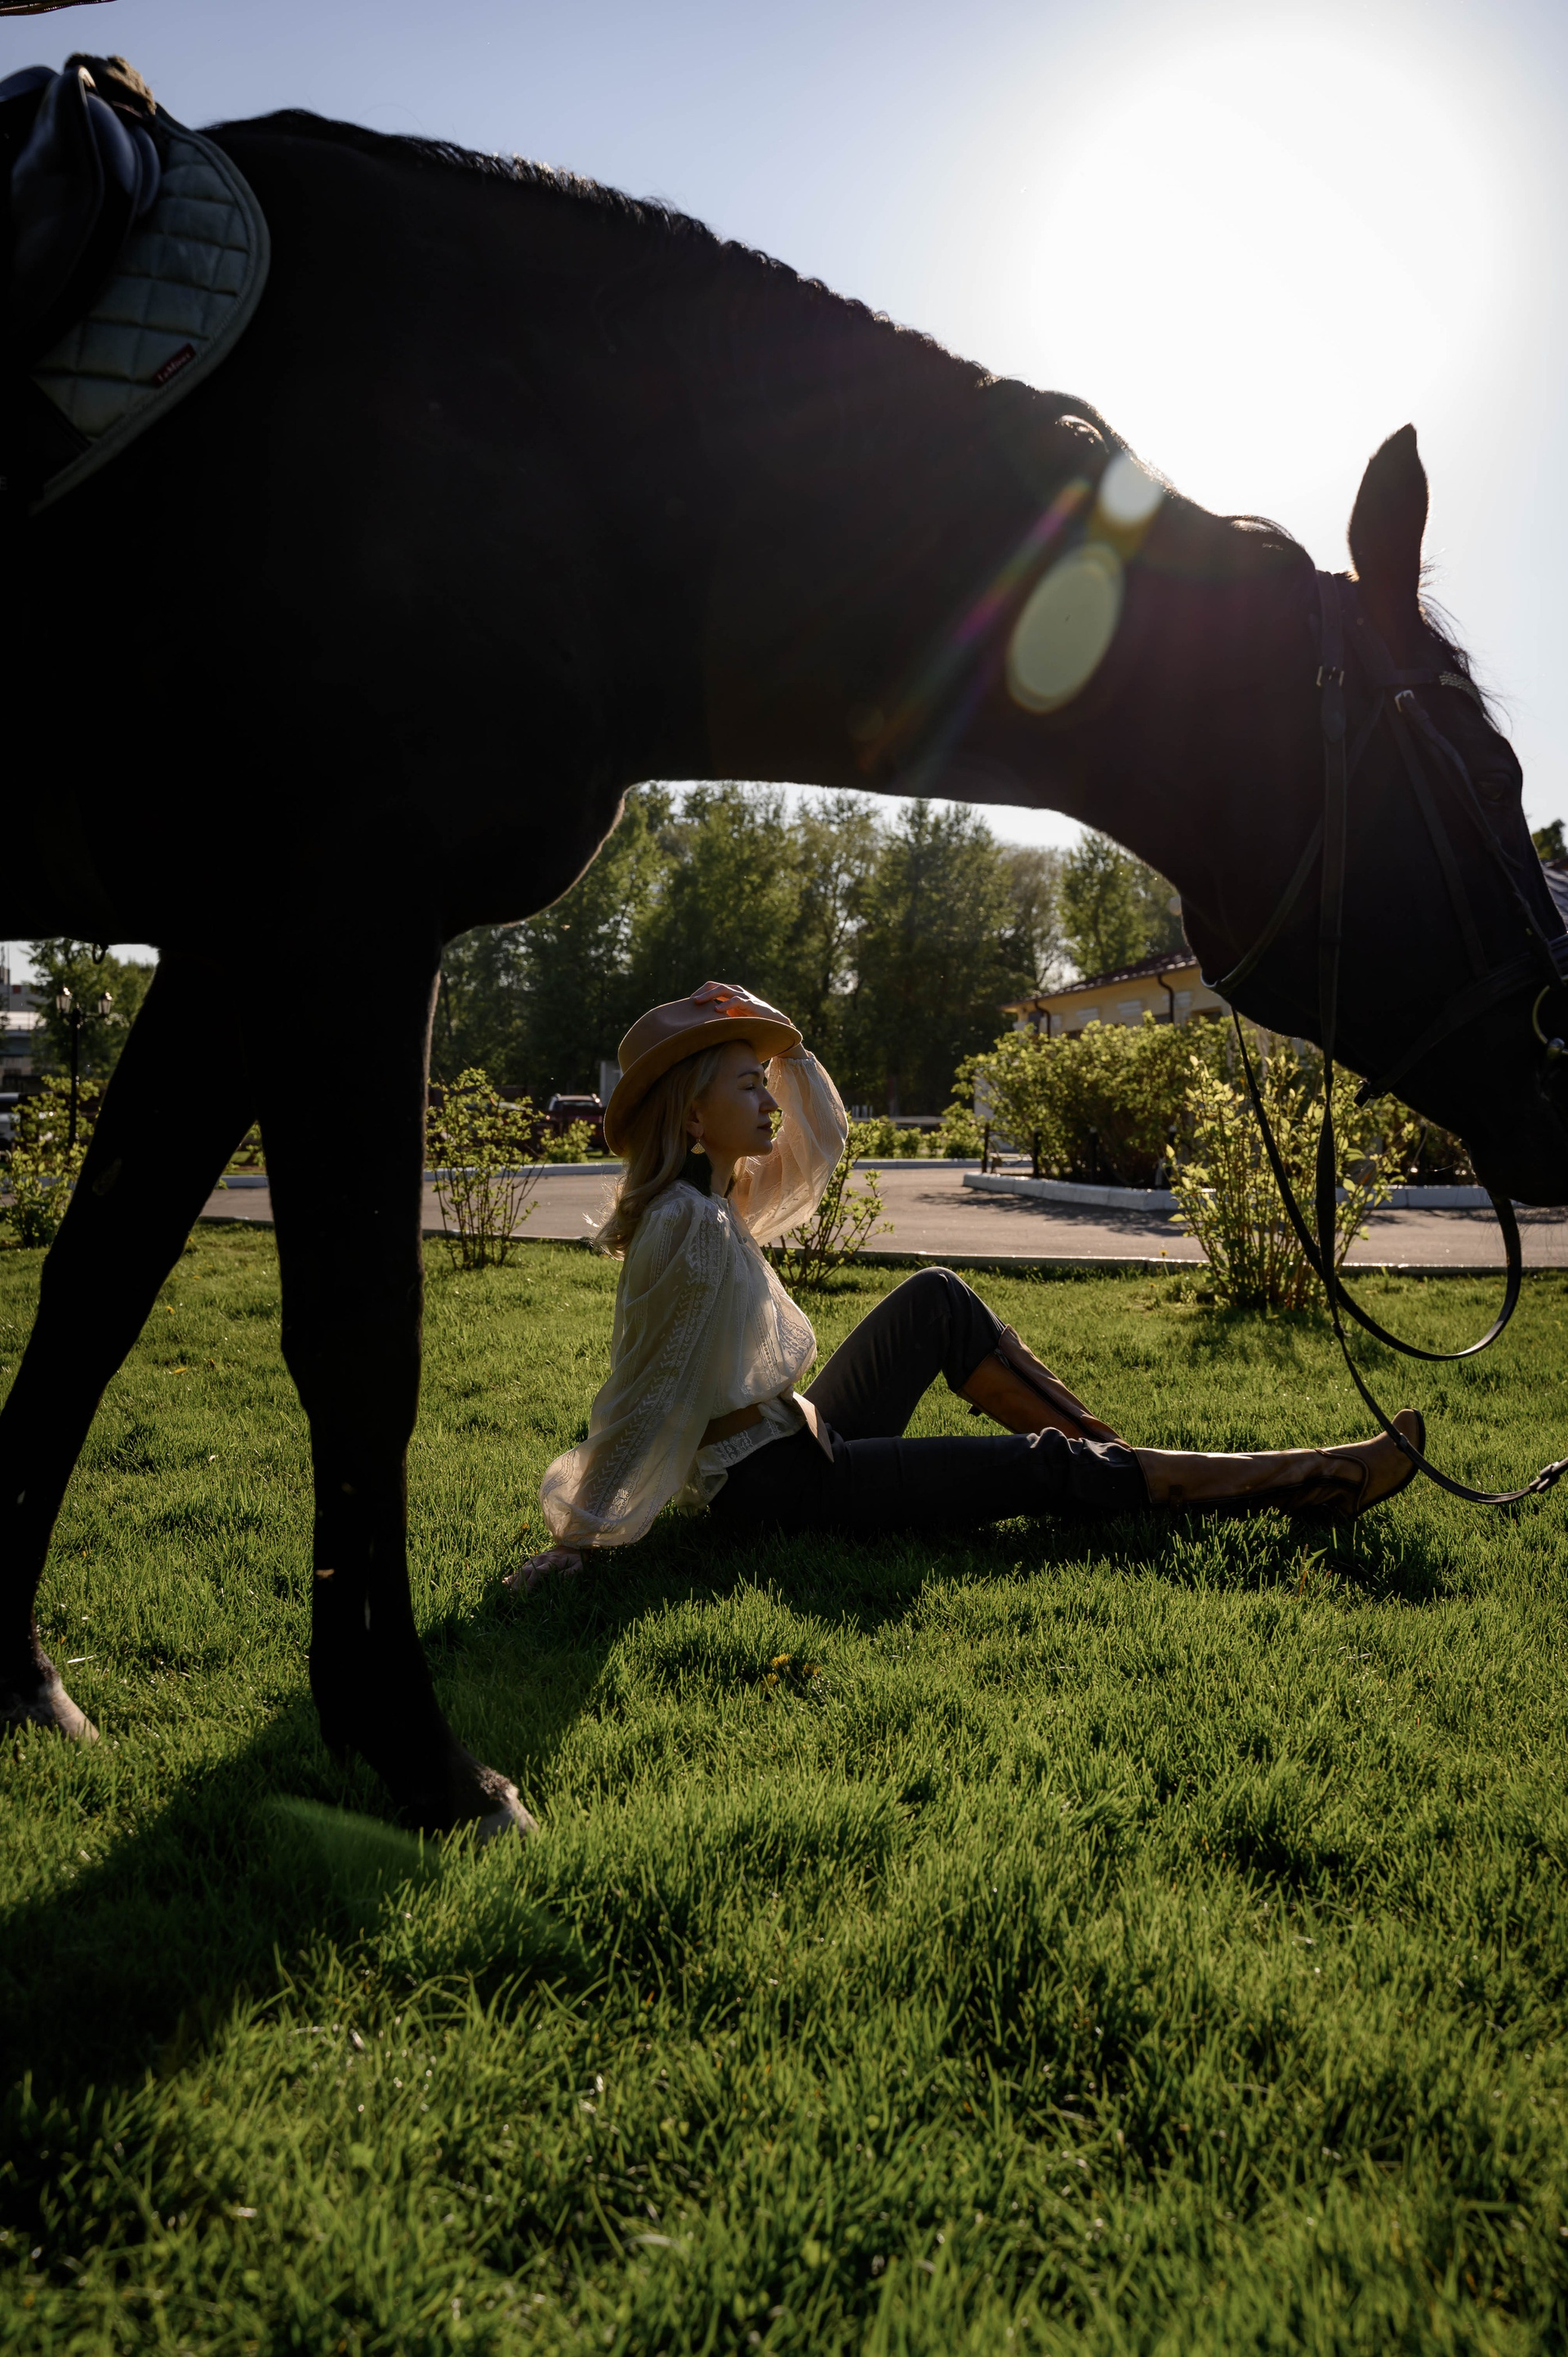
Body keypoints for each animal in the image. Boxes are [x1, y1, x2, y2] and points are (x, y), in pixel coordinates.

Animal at [3, 105, 1563, 1837]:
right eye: (1482, 774)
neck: (542, 442)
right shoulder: (339, 915)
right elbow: (357, 1336)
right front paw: (420, 1756)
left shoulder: (228, 947)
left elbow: (94, 1289)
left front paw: (21, 1677)